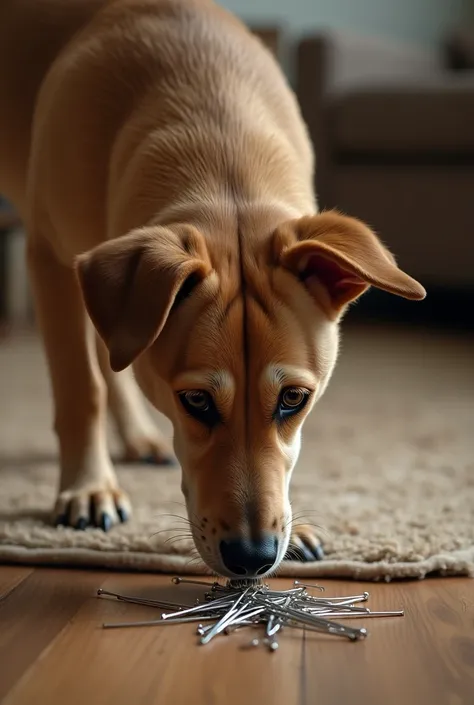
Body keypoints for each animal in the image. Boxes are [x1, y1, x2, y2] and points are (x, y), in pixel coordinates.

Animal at [0, 0, 424, 576]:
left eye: (294, 398)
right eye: (196, 401)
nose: (253, 557)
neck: (217, 129)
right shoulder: (48, 256)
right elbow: (80, 387)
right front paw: (89, 489)